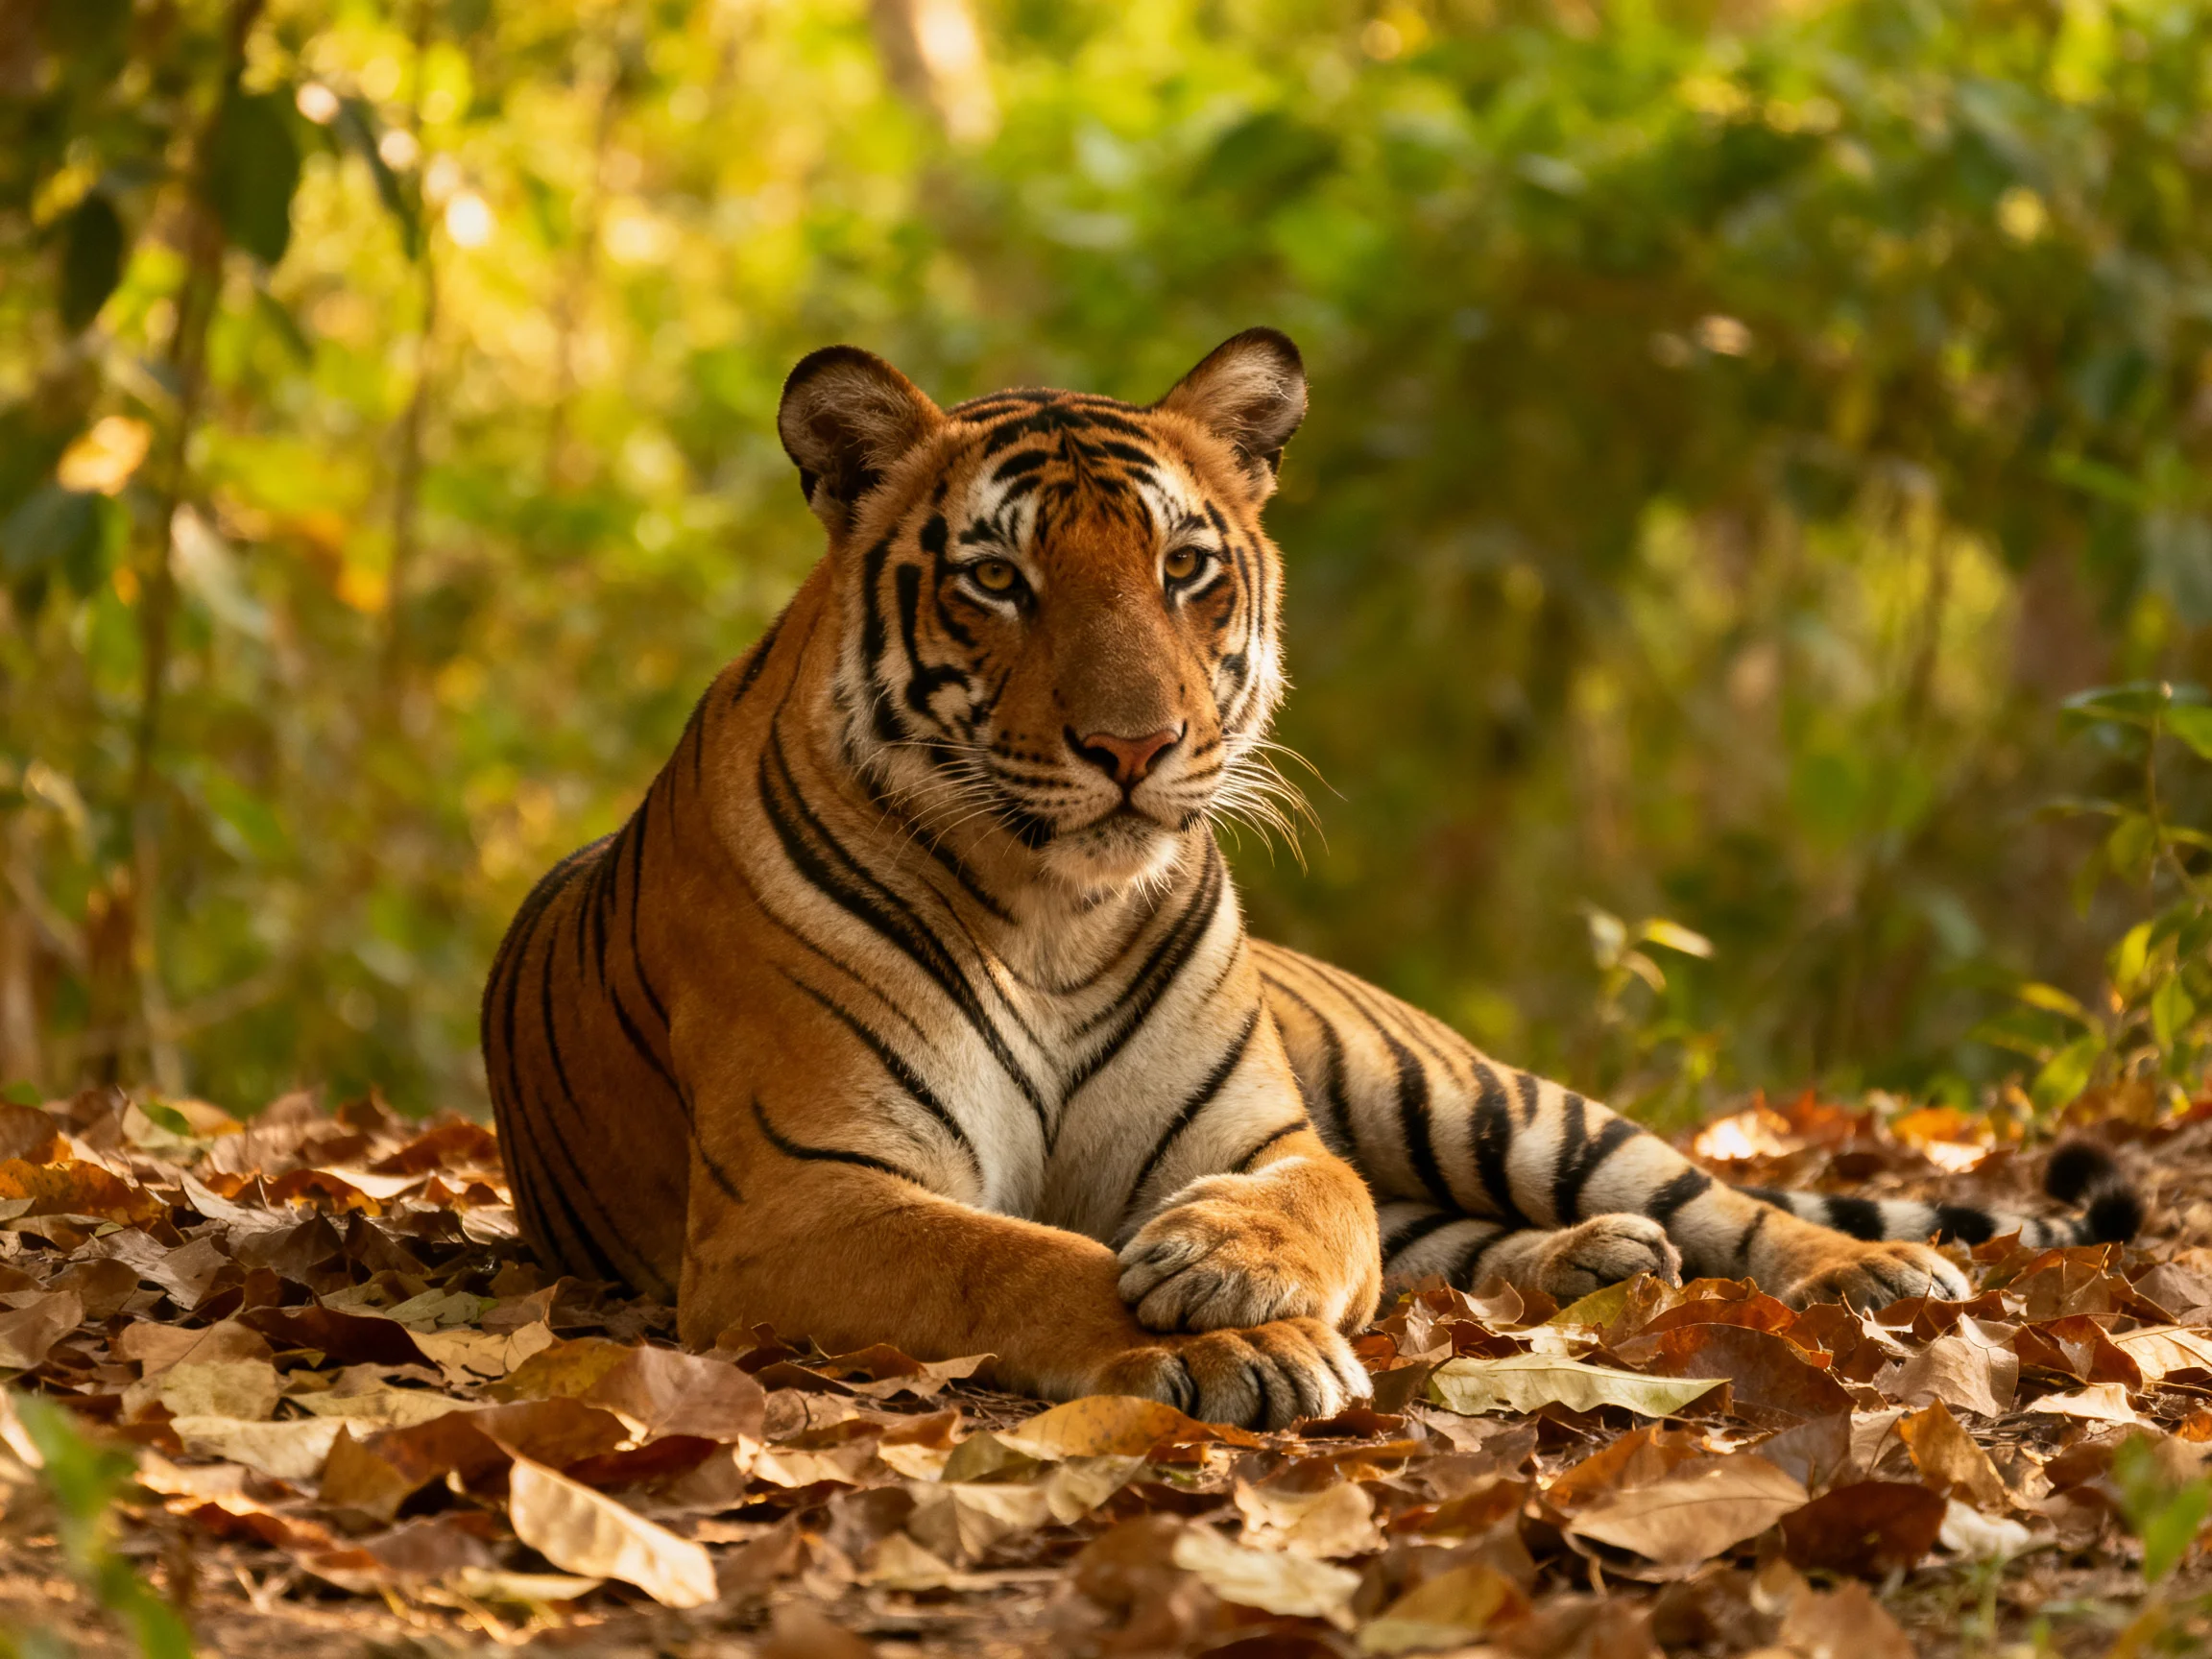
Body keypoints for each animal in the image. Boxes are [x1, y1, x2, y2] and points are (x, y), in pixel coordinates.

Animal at [482, 330, 2141, 1428]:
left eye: (1185, 569)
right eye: (998, 579)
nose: (1134, 746)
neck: (1053, 915)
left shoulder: (1262, 1134)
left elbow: (1314, 1210)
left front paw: (1225, 1271)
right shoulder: (801, 1194)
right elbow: (1009, 1257)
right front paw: (1236, 1345)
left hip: (1470, 1093)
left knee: (1701, 1196)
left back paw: (1861, 1275)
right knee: (1460, 1246)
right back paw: (1602, 1264)